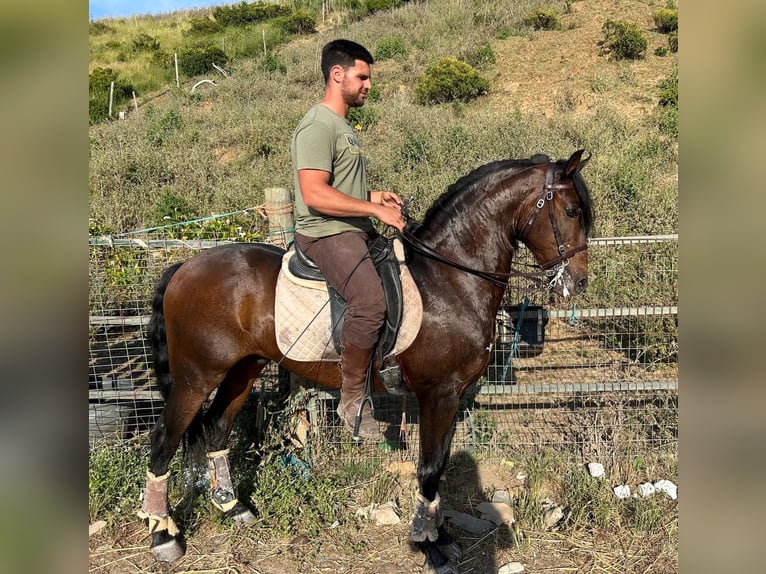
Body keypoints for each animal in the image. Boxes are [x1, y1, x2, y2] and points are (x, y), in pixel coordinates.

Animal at [140, 151, 592, 572]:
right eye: (571, 211)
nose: (578, 282)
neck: (449, 280)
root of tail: (185, 266)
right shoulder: (438, 394)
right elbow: (429, 468)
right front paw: (428, 544)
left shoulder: (453, 395)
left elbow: (441, 465)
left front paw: (440, 534)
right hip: (197, 377)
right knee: (164, 440)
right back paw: (163, 536)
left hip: (242, 370)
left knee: (216, 429)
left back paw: (232, 508)